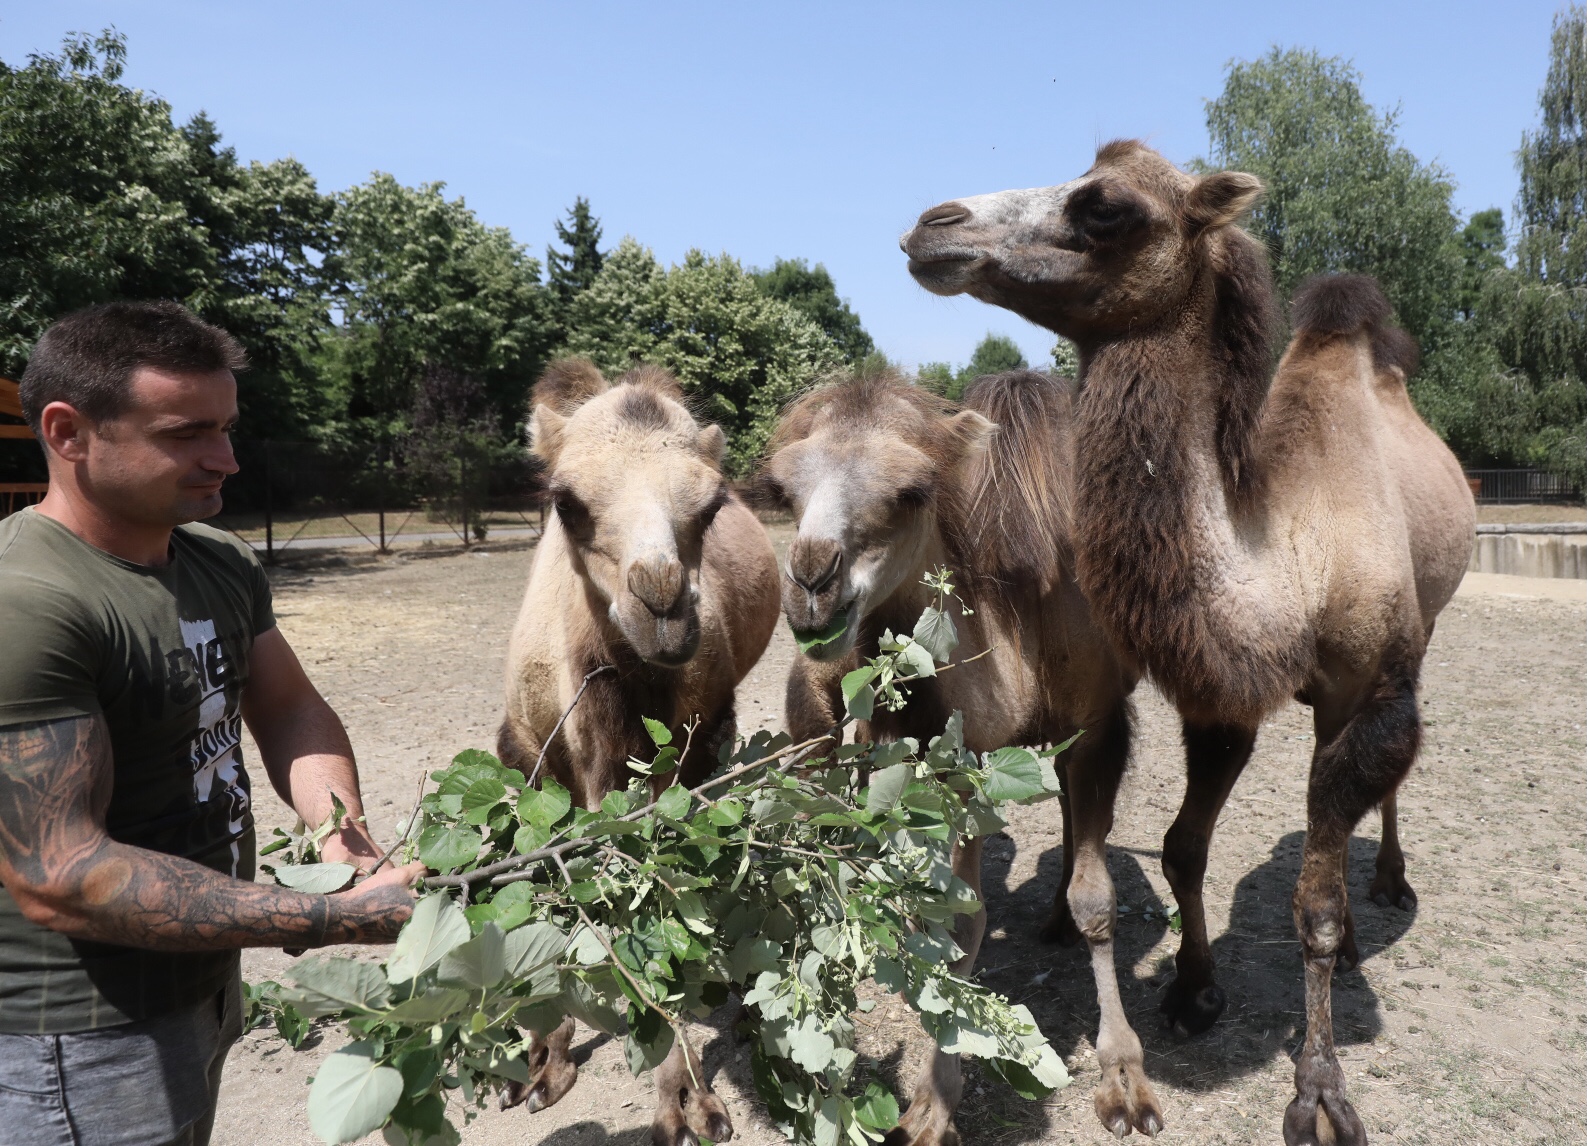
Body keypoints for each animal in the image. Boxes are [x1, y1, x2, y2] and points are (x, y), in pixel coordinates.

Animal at [488, 357, 774, 1142]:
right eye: (565, 501)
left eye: (710, 506)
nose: (665, 605)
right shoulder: (537, 760)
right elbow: (556, 883)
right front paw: (540, 1062)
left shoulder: (688, 756)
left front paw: (687, 1102)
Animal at [764, 369, 1168, 1136]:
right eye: (783, 490)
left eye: (913, 491)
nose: (809, 585)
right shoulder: (944, 756)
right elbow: (954, 918)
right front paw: (931, 1101)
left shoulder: (1101, 727)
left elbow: (1097, 899)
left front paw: (1125, 1078)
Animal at [907, 142, 1472, 1142]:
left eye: (1107, 208)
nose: (934, 226)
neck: (1291, 555)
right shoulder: (1220, 699)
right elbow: (1179, 847)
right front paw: (1191, 991)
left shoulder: (1373, 685)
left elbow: (1312, 906)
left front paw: (1319, 1091)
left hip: (1418, 639)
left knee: (1387, 781)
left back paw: (1387, 885)